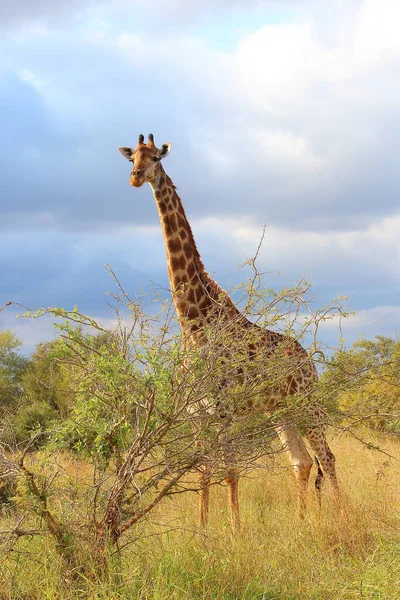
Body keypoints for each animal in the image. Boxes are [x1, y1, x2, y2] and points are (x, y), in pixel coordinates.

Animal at [119, 135, 340, 528]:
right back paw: (301, 525)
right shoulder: (197, 414)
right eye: (132, 158)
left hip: (307, 402)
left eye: (156, 157)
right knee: (301, 462)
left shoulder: (224, 410)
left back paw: (345, 519)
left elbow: (231, 470)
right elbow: (203, 470)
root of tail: (308, 361)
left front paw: (236, 532)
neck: (194, 324)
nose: (135, 177)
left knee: (327, 458)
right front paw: (202, 531)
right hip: (279, 411)